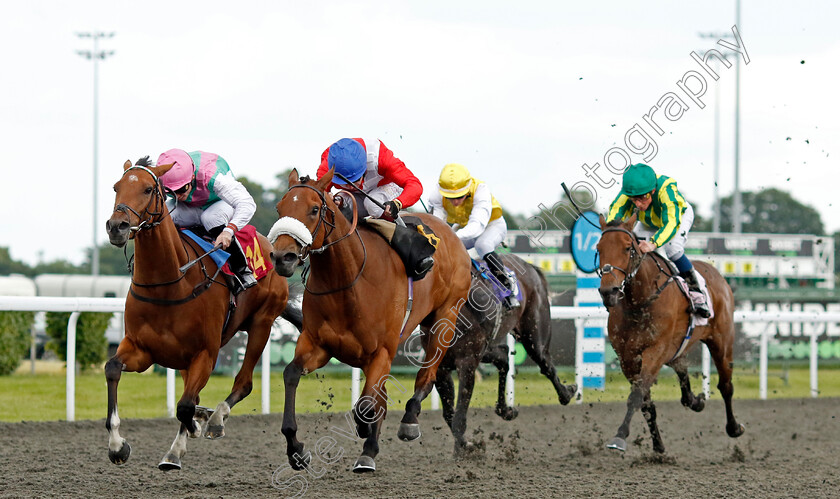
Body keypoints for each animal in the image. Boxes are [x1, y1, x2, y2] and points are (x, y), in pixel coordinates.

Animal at [104, 158, 300, 470]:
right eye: (116, 187)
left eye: (148, 189)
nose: (116, 227)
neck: (170, 283)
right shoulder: (141, 350)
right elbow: (112, 368)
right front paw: (117, 446)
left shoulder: (206, 354)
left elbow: (185, 405)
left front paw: (191, 431)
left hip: (262, 324)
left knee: (243, 383)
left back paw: (214, 419)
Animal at [270, 170, 472, 474]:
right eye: (280, 208)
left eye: (314, 209)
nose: (283, 257)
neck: (349, 282)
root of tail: (449, 231)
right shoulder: (318, 346)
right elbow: (291, 374)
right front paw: (296, 450)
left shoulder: (382, 352)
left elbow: (366, 404)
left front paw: (365, 429)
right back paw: (370, 449)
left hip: (445, 317)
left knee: (427, 373)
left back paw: (408, 421)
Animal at [434, 256, 576, 456]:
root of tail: (529, 266)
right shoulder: (441, 367)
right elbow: (449, 413)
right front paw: (464, 447)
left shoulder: (467, 363)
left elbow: (458, 416)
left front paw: (464, 449)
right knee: (503, 356)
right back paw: (505, 410)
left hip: (534, 336)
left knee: (546, 364)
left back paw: (566, 393)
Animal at [592, 213, 744, 456]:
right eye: (599, 247)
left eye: (627, 248)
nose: (609, 291)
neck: (640, 301)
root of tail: (715, 273)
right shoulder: (627, 358)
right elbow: (644, 401)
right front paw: (658, 444)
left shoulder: (656, 350)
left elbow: (636, 395)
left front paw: (620, 436)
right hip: (676, 347)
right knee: (681, 368)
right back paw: (695, 401)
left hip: (721, 341)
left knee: (726, 386)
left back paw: (734, 427)